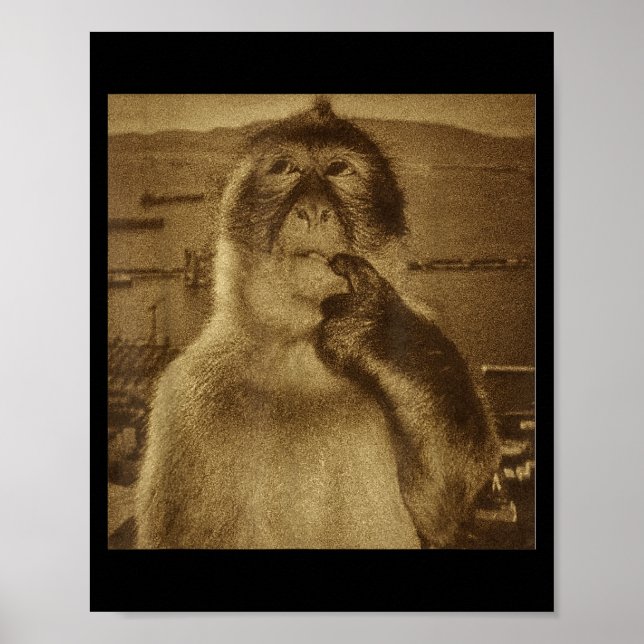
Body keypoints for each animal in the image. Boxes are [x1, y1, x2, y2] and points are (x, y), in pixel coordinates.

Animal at [134, 97, 500, 549]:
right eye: (285, 168)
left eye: (339, 169)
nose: (312, 210)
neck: (299, 347)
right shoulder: (188, 398)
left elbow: (442, 506)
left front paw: (376, 329)